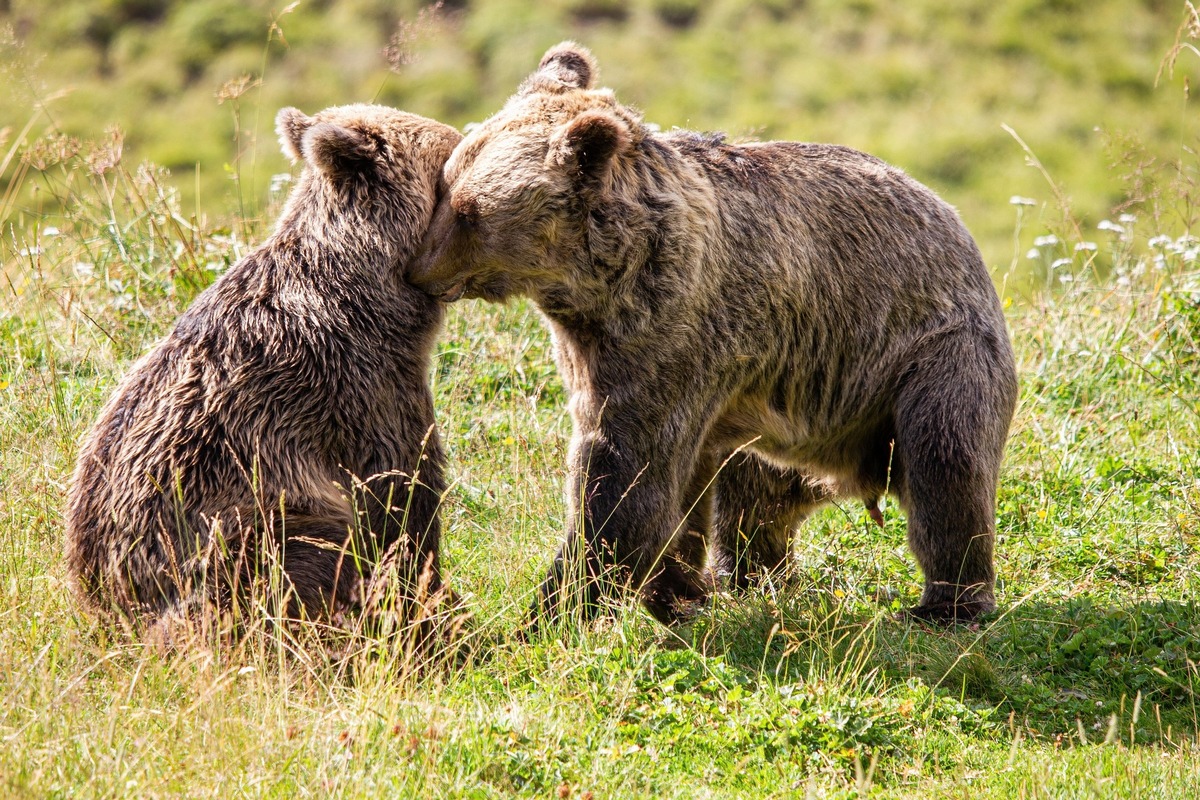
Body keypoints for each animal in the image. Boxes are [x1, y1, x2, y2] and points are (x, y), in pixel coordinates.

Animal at [64, 104, 463, 642]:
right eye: (453, 154)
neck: (373, 294)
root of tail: (109, 611)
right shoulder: (360, 386)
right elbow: (402, 495)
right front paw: (434, 611)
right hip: (235, 533)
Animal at [408, 43, 1017, 628]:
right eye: (447, 183)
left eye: (468, 212)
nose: (418, 269)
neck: (605, 282)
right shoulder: (604, 349)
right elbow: (674, 490)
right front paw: (677, 590)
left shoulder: (666, 340)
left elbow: (625, 481)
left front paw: (550, 612)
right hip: (788, 405)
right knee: (754, 497)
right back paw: (748, 575)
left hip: (926, 354)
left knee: (946, 462)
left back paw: (947, 603)